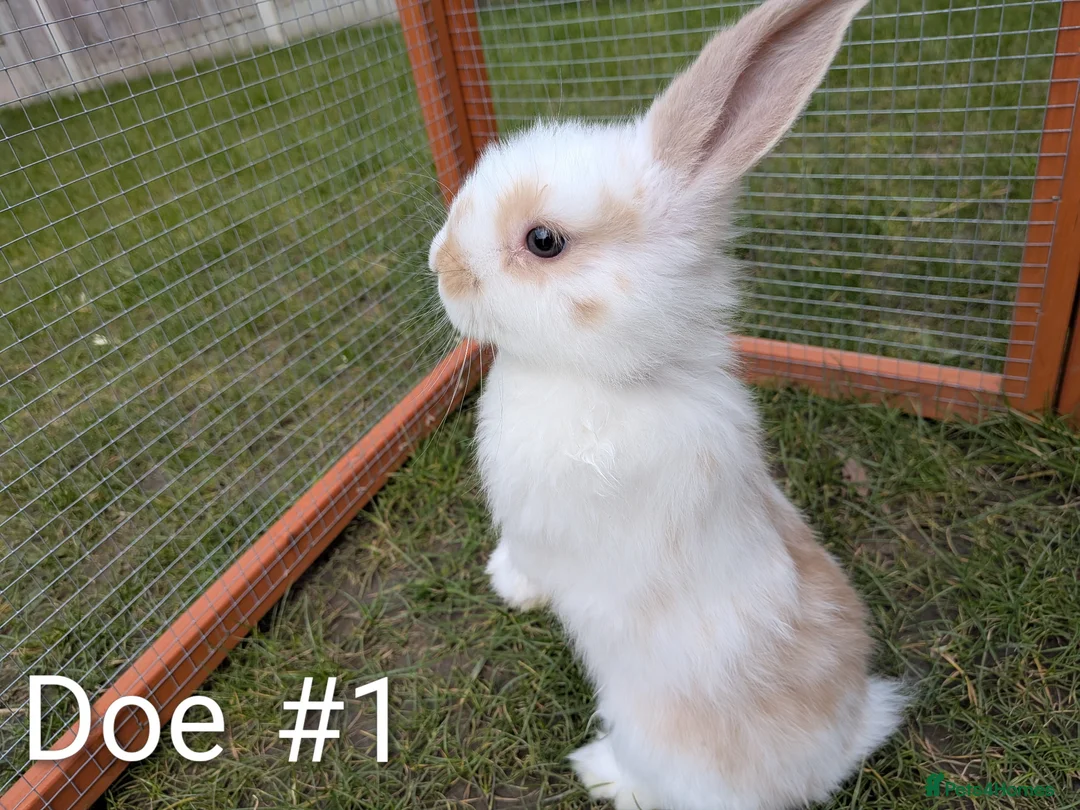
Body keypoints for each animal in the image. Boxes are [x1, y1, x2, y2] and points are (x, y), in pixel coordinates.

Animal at [427, 0, 906, 807]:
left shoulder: (538, 526)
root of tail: (841, 745)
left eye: (543, 239)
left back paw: (601, 772)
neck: (606, 379)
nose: (441, 265)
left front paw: (507, 585)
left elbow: (528, 560)